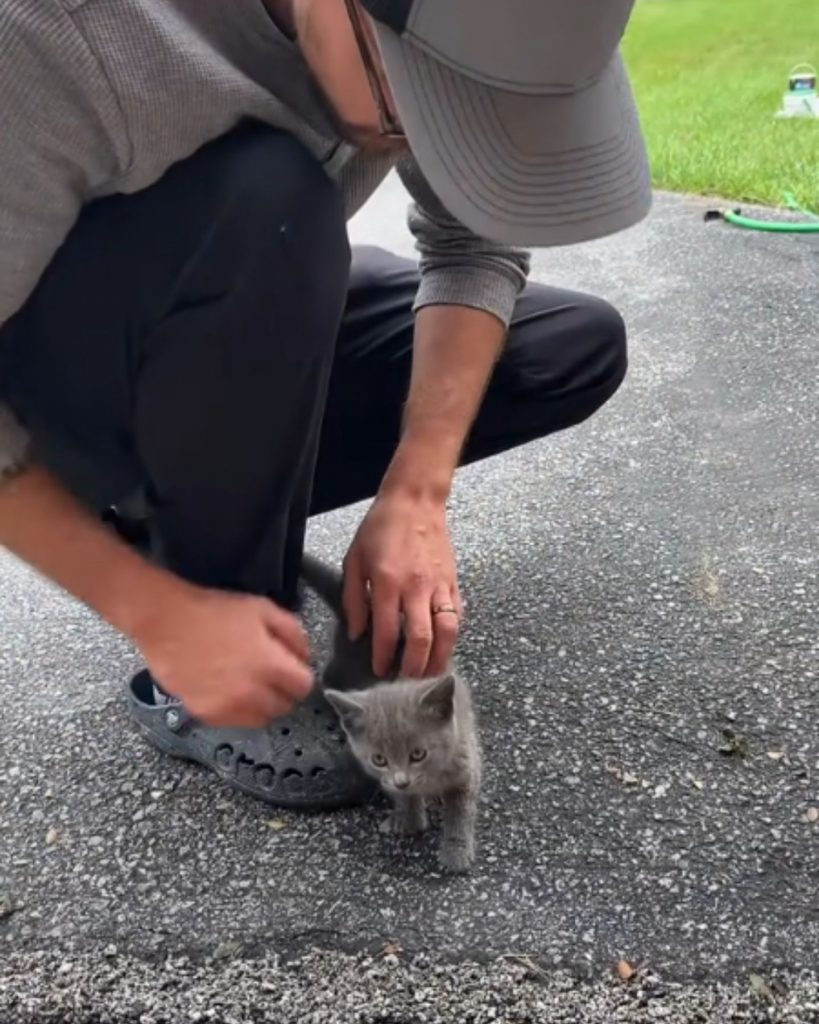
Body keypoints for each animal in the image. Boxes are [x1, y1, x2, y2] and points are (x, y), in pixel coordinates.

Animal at [300, 552, 479, 872]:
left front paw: (456, 852)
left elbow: (461, 810)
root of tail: (367, 613)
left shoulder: (465, 761)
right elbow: (404, 798)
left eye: (418, 754)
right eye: (379, 759)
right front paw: (408, 820)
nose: (402, 779)